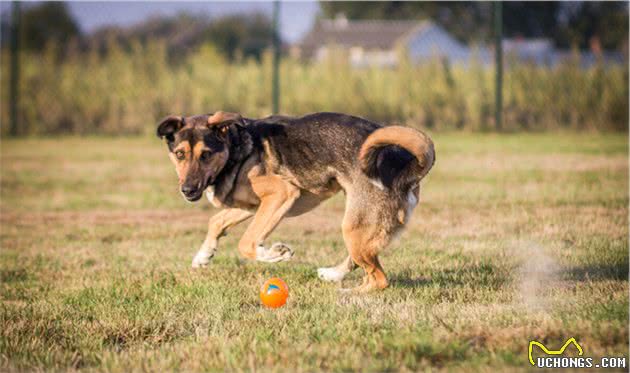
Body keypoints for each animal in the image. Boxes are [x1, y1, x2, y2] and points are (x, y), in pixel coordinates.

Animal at [157, 110, 434, 290]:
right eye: (180, 154)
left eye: (206, 154)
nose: (188, 190)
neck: (237, 148)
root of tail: (408, 167)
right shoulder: (253, 206)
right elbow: (215, 222)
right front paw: (203, 256)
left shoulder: (281, 194)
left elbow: (246, 243)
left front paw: (273, 254)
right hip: (360, 228)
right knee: (363, 264)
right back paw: (333, 275)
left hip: (354, 224)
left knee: (379, 279)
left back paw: (347, 293)